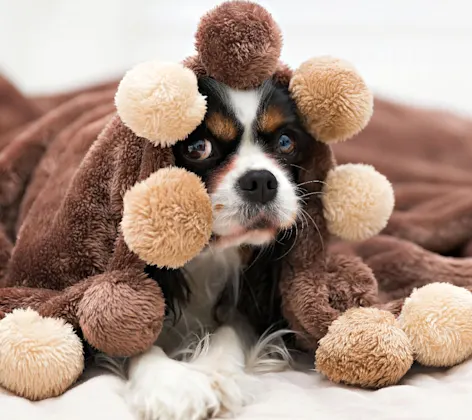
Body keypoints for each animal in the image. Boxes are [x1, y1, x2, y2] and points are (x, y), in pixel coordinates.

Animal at [101, 77, 318, 418]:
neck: (206, 254)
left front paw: (215, 372)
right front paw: (173, 387)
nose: (261, 180)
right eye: (197, 148)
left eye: (286, 142)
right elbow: (131, 338)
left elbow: (230, 329)